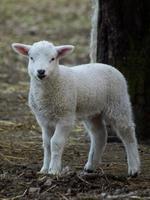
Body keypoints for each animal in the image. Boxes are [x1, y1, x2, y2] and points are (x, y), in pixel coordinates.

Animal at [11, 40, 141, 177]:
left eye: (53, 58)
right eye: (31, 58)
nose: (41, 71)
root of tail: (110, 67)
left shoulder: (65, 117)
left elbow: (55, 142)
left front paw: (54, 170)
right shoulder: (44, 120)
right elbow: (46, 144)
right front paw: (44, 169)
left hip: (118, 103)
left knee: (128, 132)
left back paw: (134, 168)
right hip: (92, 111)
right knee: (99, 134)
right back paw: (91, 166)